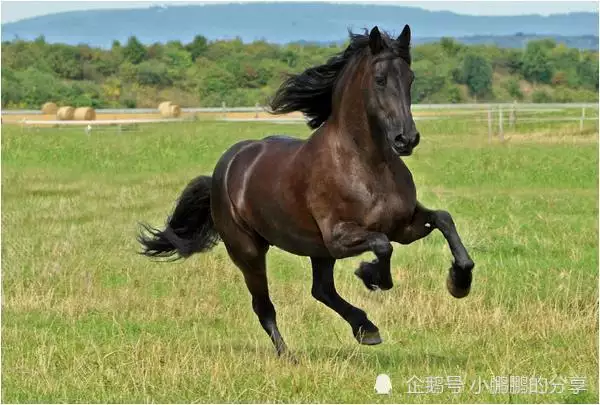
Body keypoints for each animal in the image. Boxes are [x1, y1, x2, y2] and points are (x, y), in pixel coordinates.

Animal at [138, 25, 476, 356]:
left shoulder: (403, 227)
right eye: (380, 80)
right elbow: (382, 245)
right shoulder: (339, 238)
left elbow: (444, 219)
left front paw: (459, 281)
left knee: (321, 290)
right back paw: (289, 355)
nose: (406, 139)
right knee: (264, 306)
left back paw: (366, 328)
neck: (366, 165)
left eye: (410, 78)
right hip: (249, 252)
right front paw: (369, 275)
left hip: (316, 251)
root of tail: (222, 172)